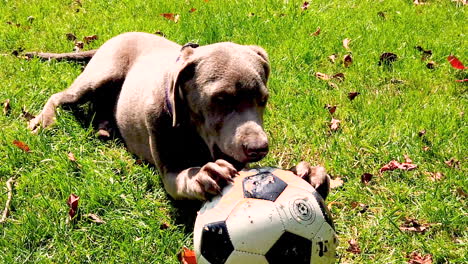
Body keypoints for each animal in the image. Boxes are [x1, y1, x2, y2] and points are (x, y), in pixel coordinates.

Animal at [28, 31, 330, 200]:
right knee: (60, 95)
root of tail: (114, 37)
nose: (258, 149)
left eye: (263, 101)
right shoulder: (169, 169)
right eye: (221, 99)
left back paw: (104, 127)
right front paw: (204, 174)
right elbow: (184, 177)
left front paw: (305, 174)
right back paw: (44, 121)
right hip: (101, 75)